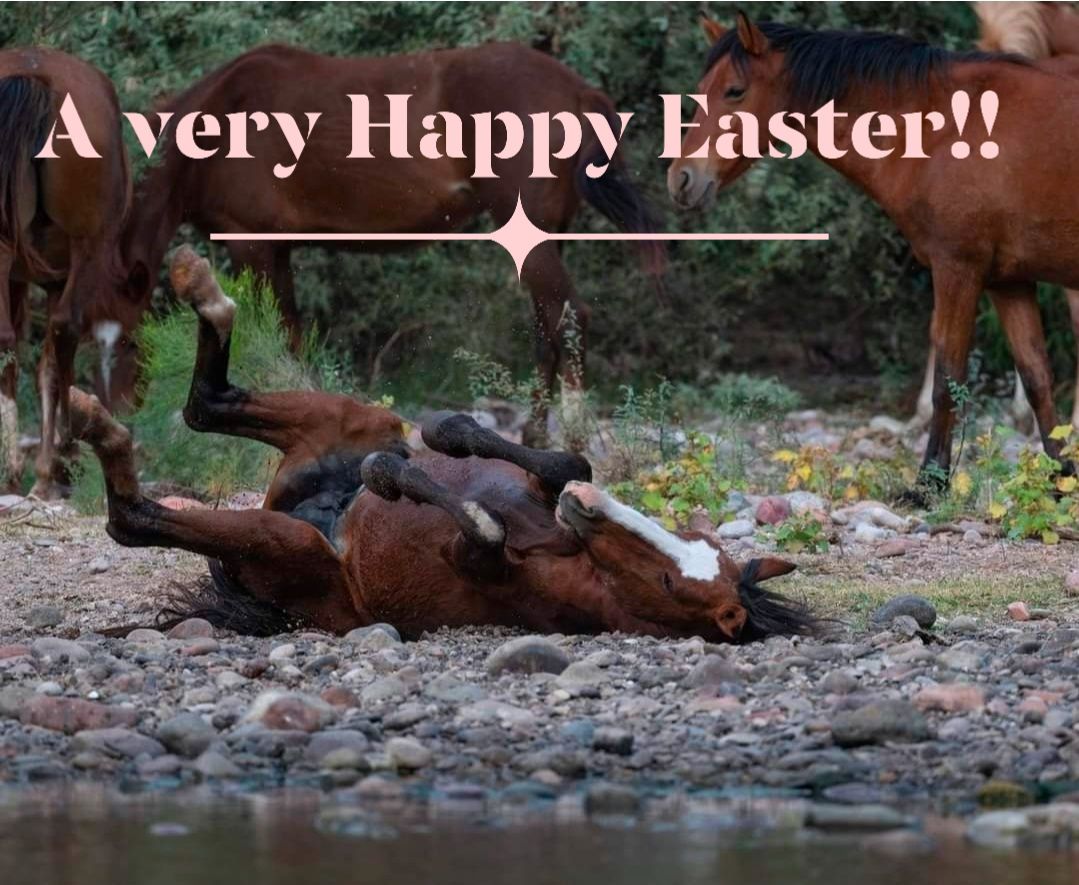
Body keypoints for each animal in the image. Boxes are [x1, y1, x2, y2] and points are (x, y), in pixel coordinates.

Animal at [0, 48, 135, 498]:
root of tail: (36, 75)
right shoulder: (62, 277)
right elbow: (51, 365)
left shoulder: (21, 277)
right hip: (86, 246)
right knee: (64, 331)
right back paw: (62, 455)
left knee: (7, 340)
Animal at [70, 247, 813, 643]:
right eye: (686, 545)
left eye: (667, 582)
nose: (586, 505)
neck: (564, 548)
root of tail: (298, 507)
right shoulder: (534, 482)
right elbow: (550, 456)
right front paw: (447, 440)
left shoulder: (476, 561)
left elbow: (478, 526)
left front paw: (393, 476)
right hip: (354, 415)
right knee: (207, 403)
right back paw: (197, 285)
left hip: (288, 545)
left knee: (133, 516)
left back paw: (100, 423)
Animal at [117, 42, 662, 448]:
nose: (126, 415)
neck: (221, 116)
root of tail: (579, 91)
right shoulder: (279, 250)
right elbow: (292, 337)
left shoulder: (251, 244)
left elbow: (277, 337)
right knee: (547, 323)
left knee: (567, 315)